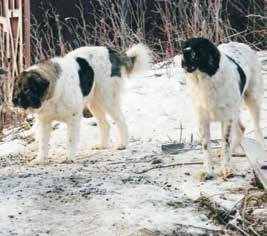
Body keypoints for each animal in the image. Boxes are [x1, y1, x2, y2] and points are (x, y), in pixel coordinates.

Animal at [12, 44, 152, 166]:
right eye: (17, 87)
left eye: (27, 89)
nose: (14, 100)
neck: (53, 95)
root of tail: (110, 51)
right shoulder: (44, 121)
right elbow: (42, 143)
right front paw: (40, 159)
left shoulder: (73, 118)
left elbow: (71, 140)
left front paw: (69, 158)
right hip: (94, 103)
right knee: (105, 124)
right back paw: (102, 145)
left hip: (108, 100)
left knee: (121, 121)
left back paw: (123, 144)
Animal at [182, 37, 266, 179]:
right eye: (185, 46)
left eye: (200, 48)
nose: (185, 52)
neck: (206, 79)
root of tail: (241, 44)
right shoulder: (202, 119)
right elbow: (206, 146)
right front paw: (208, 170)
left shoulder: (227, 118)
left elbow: (225, 143)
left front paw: (226, 168)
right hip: (235, 109)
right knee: (241, 130)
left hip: (252, 99)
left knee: (257, 130)